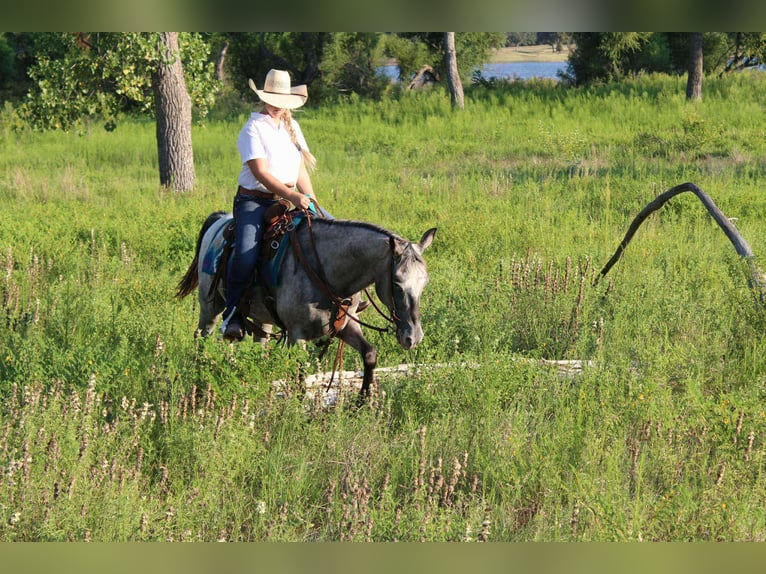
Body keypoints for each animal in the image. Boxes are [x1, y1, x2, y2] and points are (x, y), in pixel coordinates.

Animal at [175, 210, 436, 403]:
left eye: (425, 282)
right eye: (397, 283)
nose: (413, 338)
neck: (327, 273)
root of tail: (220, 219)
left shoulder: (346, 326)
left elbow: (370, 354)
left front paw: (361, 401)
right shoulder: (297, 335)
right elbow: (300, 375)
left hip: (261, 316)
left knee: (260, 340)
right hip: (210, 305)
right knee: (201, 336)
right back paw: (199, 374)